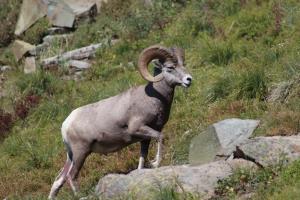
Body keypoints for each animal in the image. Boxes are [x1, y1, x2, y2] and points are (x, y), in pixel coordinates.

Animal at [47, 45, 192, 198]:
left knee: (58, 180)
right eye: (170, 67)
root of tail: (66, 125)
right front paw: (155, 163)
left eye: (183, 64)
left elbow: (142, 158)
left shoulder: (145, 138)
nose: (189, 79)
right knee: (71, 176)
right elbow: (160, 137)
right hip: (81, 152)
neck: (153, 98)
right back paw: (81, 195)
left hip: (71, 156)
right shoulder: (139, 128)